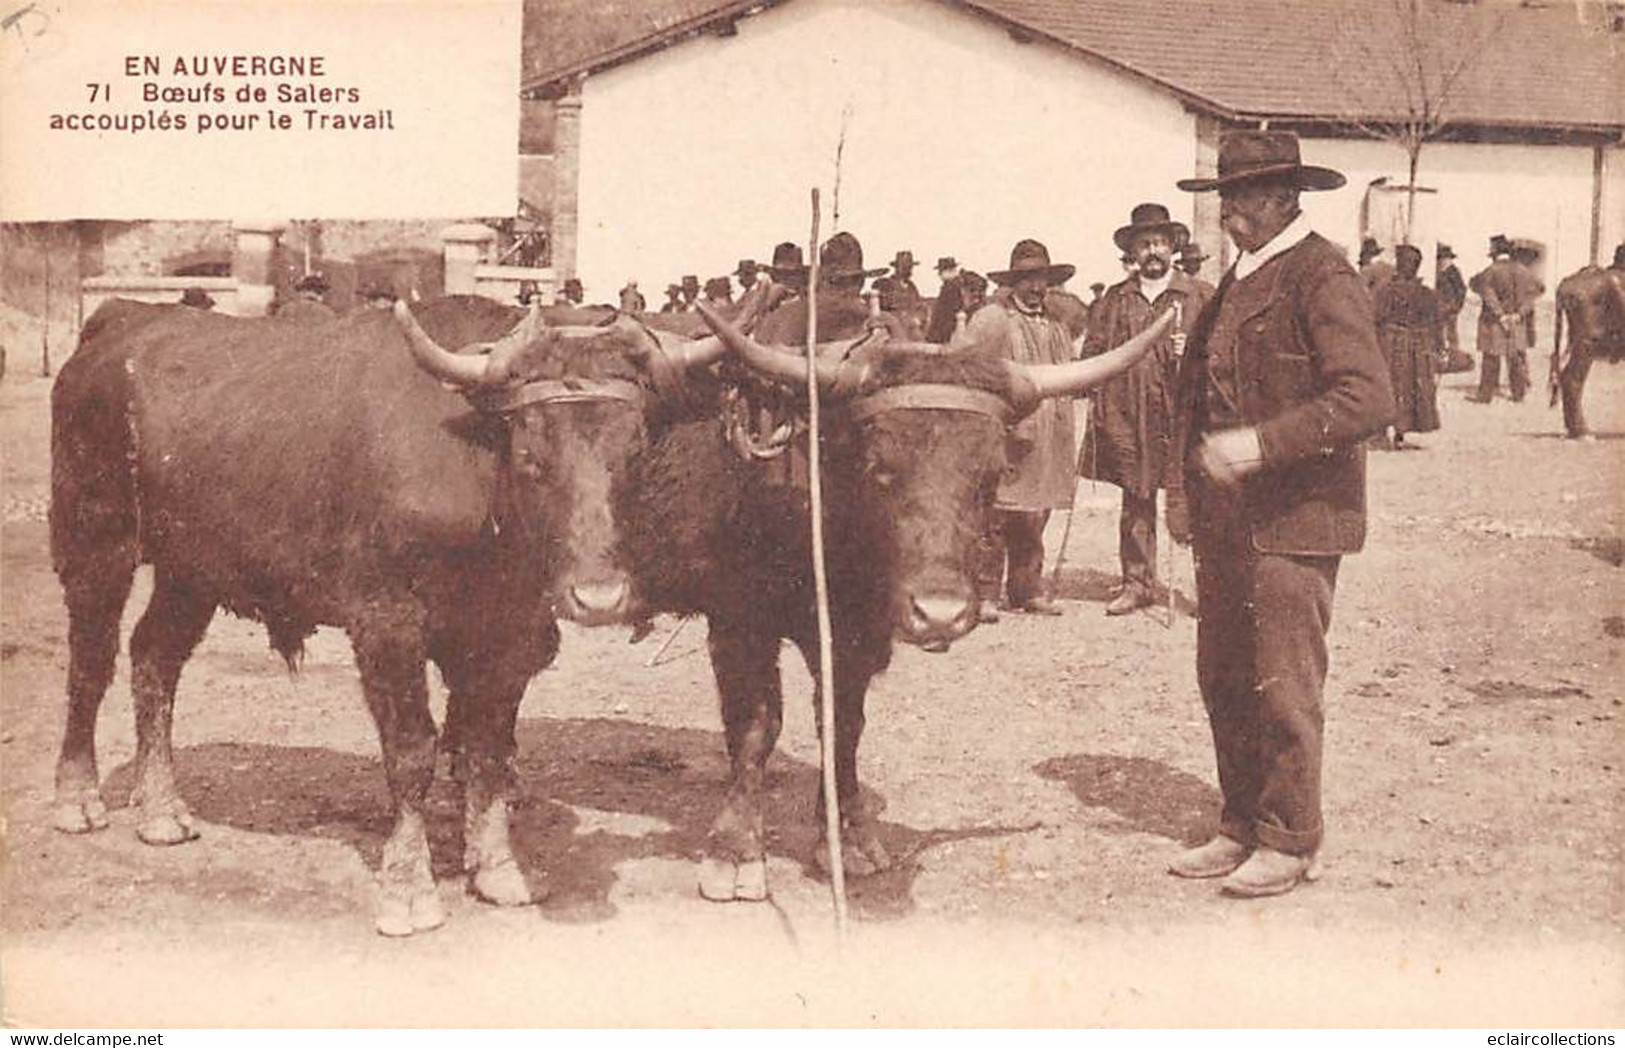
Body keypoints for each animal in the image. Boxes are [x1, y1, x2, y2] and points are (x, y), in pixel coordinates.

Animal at [49, 294, 718, 929]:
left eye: (635, 449)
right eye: (531, 450)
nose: (598, 597)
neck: (473, 472)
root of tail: (122, 320)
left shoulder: (509, 635)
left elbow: (488, 752)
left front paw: (500, 870)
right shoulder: (387, 626)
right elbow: (412, 751)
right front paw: (408, 889)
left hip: (192, 570)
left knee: (154, 658)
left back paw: (161, 810)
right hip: (95, 542)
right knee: (91, 663)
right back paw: (77, 797)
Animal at [611, 295, 1170, 896]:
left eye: (992, 473)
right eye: (879, 467)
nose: (940, 614)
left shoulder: (857, 636)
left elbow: (842, 726)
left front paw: (849, 840)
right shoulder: (739, 622)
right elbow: (756, 726)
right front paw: (734, 852)